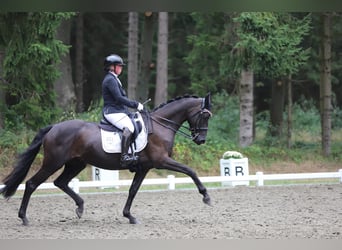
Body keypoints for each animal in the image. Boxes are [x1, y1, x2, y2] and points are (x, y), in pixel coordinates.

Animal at [0, 93, 212, 225]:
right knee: (31, 184)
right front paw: (206, 196)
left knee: (61, 182)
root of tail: (53, 128)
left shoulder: (144, 168)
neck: (160, 126)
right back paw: (24, 218)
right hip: (53, 162)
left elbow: (133, 191)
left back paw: (80, 207)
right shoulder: (161, 161)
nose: (201, 140)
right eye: (205, 116)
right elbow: (191, 171)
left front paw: (129, 216)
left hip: (76, 163)